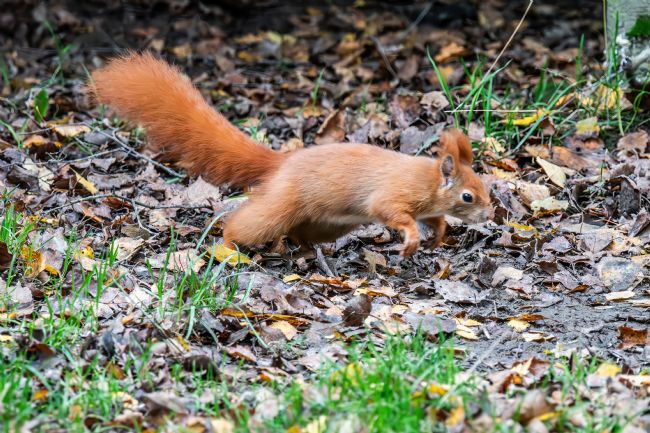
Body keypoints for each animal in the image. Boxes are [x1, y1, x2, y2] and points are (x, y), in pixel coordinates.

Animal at [90, 52, 492, 256]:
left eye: (484, 186)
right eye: (468, 195)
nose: (491, 214)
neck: (429, 180)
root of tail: (284, 162)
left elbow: (437, 221)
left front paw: (438, 237)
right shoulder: (394, 195)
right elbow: (394, 214)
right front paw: (411, 240)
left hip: (328, 222)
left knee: (300, 232)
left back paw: (304, 249)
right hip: (282, 206)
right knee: (246, 223)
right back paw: (229, 245)